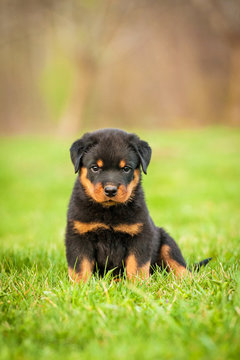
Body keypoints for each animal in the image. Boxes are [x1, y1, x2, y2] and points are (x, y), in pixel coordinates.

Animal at [64, 128, 211, 282]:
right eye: (95, 168)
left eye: (126, 168)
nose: (110, 190)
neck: (109, 210)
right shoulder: (78, 235)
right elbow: (80, 267)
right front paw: (81, 285)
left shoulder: (140, 234)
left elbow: (137, 265)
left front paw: (138, 284)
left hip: (166, 241)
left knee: (179, 264)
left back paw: (190, 280)